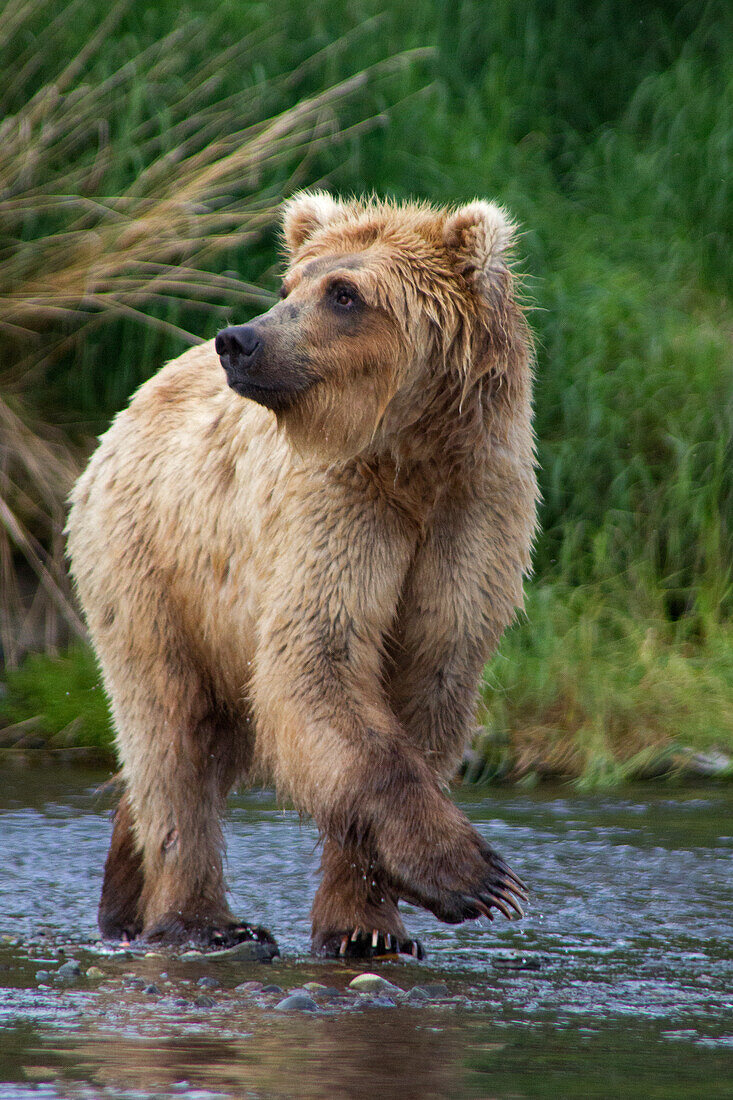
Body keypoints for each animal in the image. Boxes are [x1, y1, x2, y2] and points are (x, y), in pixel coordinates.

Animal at [65, 193, 537, 959]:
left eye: (344, 294)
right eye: (290, 286)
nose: (239, 339)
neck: (415, 458)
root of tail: (133, 403)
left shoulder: (471, 524)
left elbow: (424, 686)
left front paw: (367, 925)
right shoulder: (335, 511)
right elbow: (319, 662)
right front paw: (478, 878)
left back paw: (125, 898)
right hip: (150, 566)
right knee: (171, 738)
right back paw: (201, 919)